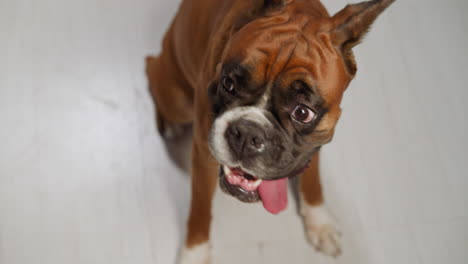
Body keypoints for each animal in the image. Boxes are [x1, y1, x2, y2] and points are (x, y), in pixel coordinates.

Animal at [146, 0, 394, 260]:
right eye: (228, 84)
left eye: (303, 112)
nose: (247, 133)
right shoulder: (204, 155)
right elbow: (200, 209)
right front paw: (195, 252)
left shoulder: (315, 143)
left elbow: (313, 178)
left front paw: (319, 220)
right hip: (177, 100)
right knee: (150, 66)